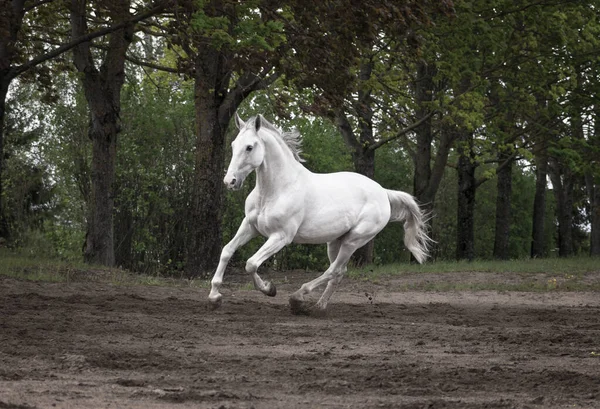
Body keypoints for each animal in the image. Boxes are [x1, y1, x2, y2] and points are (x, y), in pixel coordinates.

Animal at [209, 113, 428, 314]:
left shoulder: (281, 236)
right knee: (339, 272)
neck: (276, 190)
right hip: (335, 241)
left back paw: (298, 298)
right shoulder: (250, 226)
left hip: (354, 240)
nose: (230, 181)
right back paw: (319, 306)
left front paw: (269, 289)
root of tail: (383, 192)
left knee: (333, 270)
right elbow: (227, 251)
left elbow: (251, 263)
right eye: (233, 145)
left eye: (249, 147)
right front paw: (214, 296)